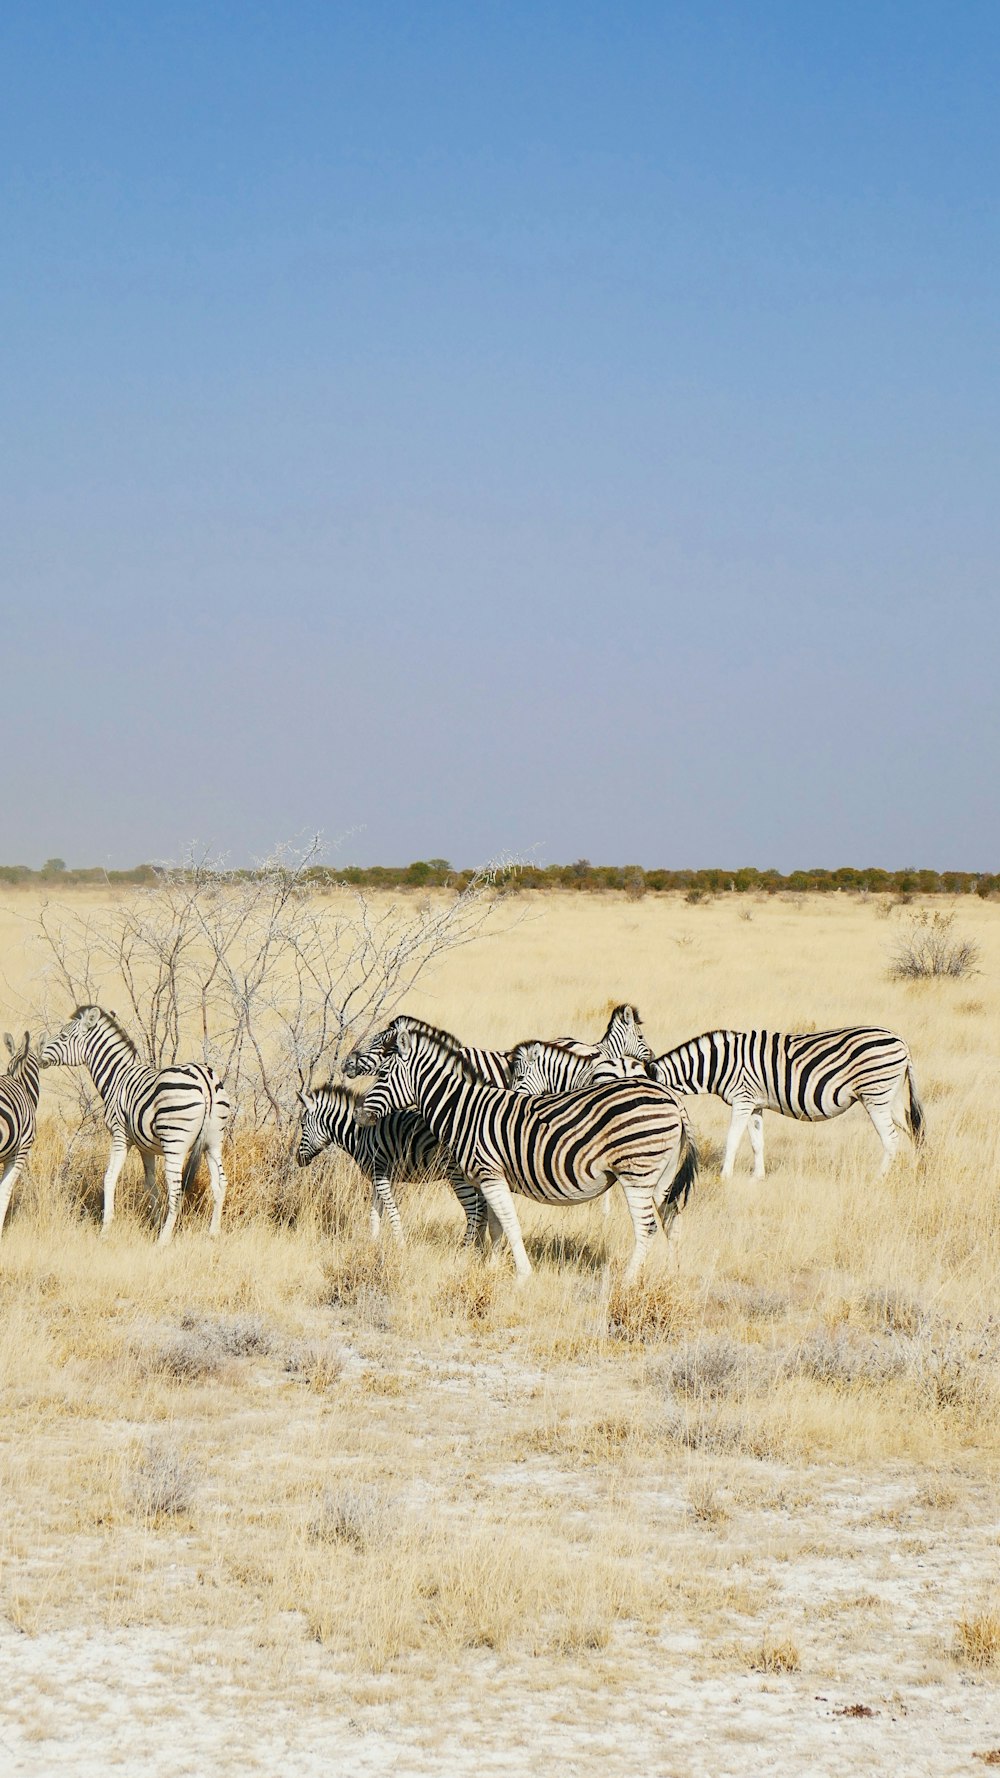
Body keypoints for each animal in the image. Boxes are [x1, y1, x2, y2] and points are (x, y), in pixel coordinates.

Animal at [41, 1009, 231, 1244]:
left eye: (63, 1036)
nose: (39, 1053)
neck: (116, 1077)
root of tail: (205, 1080)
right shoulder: (145, 1147)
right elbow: (150, 1184)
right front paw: (156, 1222)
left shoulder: (120, 1136)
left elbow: (110, 1177)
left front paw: (106, 1229)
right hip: (214, 1142)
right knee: (220, 1184)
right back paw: (213, 1233)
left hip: (175, 1142)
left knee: (177, 1190)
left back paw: (163, 1241)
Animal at [291, 1073, 487, 1244]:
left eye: (302, 1124)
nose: (298, 1159)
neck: (359, 1135)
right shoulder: (380, 1177)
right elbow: (375, 1213)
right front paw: (373, 1243)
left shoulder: (380, 1174)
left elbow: (392, 1211)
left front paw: (400, 1246)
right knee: (484, 1210)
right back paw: (479, 1250)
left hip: (457, 1175)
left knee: (474, 1210)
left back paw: (465, 1249)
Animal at [355, 1024, 693, 1287]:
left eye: (382, 1073)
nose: (359, 1115)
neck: (463, 1110)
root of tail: (670, 1097)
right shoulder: (489, 1180)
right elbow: (495, 1227)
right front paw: (491, 1268)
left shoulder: (489, 1174)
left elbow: (509, 1224)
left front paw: (522, 1275)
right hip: (662, 1177)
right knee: (672, 1222)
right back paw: (674, 1274)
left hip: (637, 1172)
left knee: (647, 1227)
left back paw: (628, 1280)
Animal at [647, 1031, 918, 1180]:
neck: (719, 1064)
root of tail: (901, 1040)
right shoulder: (755, 1104)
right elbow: (757, 1142)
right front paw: (757, 1177)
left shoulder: (742, 1100)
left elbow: (732, 1139)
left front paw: (724, 1177)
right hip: (890, 1097)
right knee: (913, 1129)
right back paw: (919, 1168)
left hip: (875, 1095)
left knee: (891, 1138)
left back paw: (879, 1178)